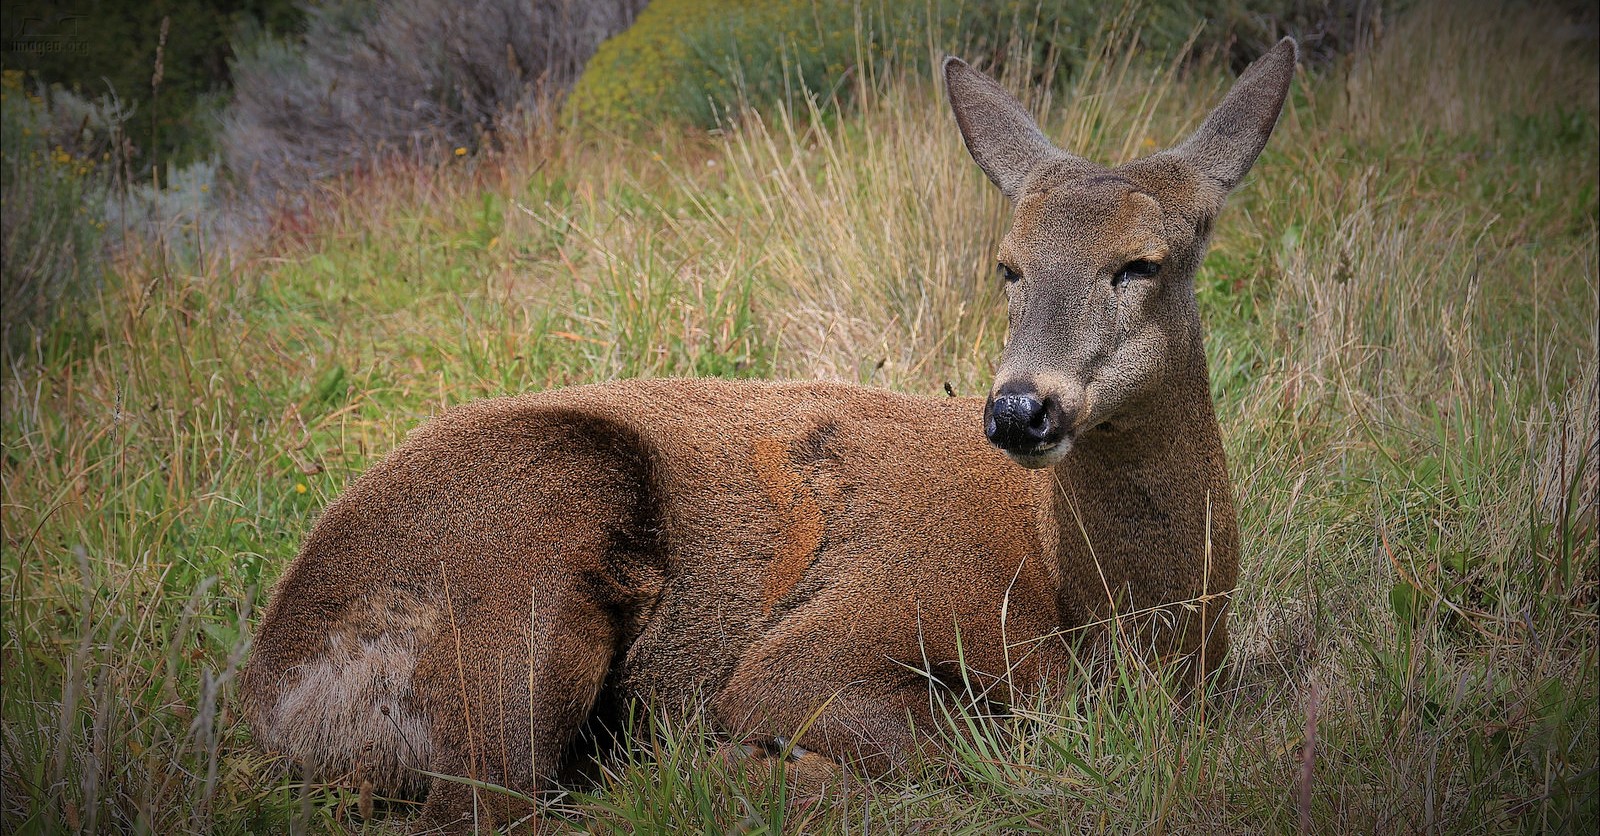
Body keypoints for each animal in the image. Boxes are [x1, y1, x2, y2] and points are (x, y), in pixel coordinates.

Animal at [240, 37, 1299, 826]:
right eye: (1009, 265)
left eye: (1142, 262)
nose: (1018, 408)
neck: (1103, 615)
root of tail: (267, 700)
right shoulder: (828, 636)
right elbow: (976, 740)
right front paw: (750, 761)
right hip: (534, 522)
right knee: (501, 801)